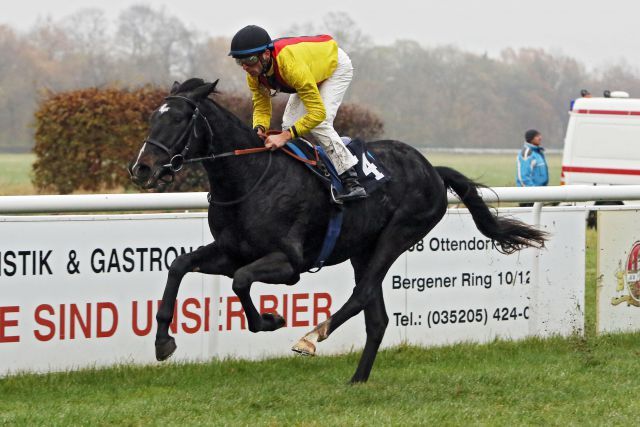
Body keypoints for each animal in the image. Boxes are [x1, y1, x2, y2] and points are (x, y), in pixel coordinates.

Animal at [129, 79, 544, 384]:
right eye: (151, 118)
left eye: (179, 119)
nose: (142, 168)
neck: (249, 178)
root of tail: (432, 168)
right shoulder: (231, 251)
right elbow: (179, 266)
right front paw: (163, 340)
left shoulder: (289, 264)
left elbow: (241, 281)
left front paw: (271, 320)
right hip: (363, 248)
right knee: (377, 317)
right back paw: (357, 380)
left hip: (399, 233)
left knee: (362, 294)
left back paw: (311, 338)